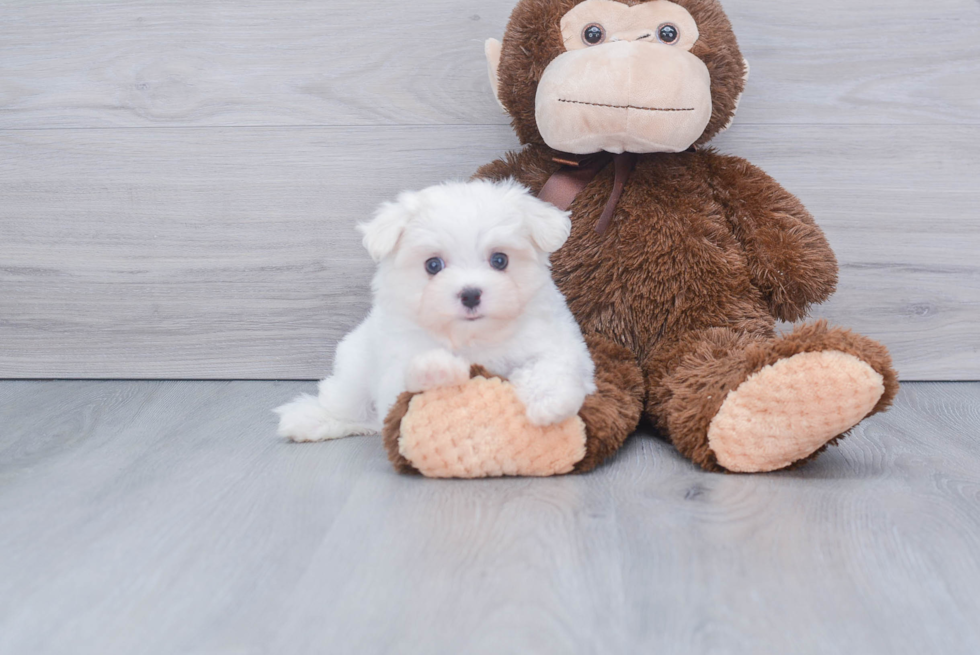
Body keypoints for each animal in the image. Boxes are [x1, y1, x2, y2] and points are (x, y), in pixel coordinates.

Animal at [276, 179, 596, 444]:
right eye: (433, 265)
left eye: (500, 260)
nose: (470, 294)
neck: (472, 336)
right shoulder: (396, 363)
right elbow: (409, 383)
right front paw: (436, 370)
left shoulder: (554, 339)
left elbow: (551, 364)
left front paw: (550, 402)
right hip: (356, 368)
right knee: (348, 404)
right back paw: (309, 420)